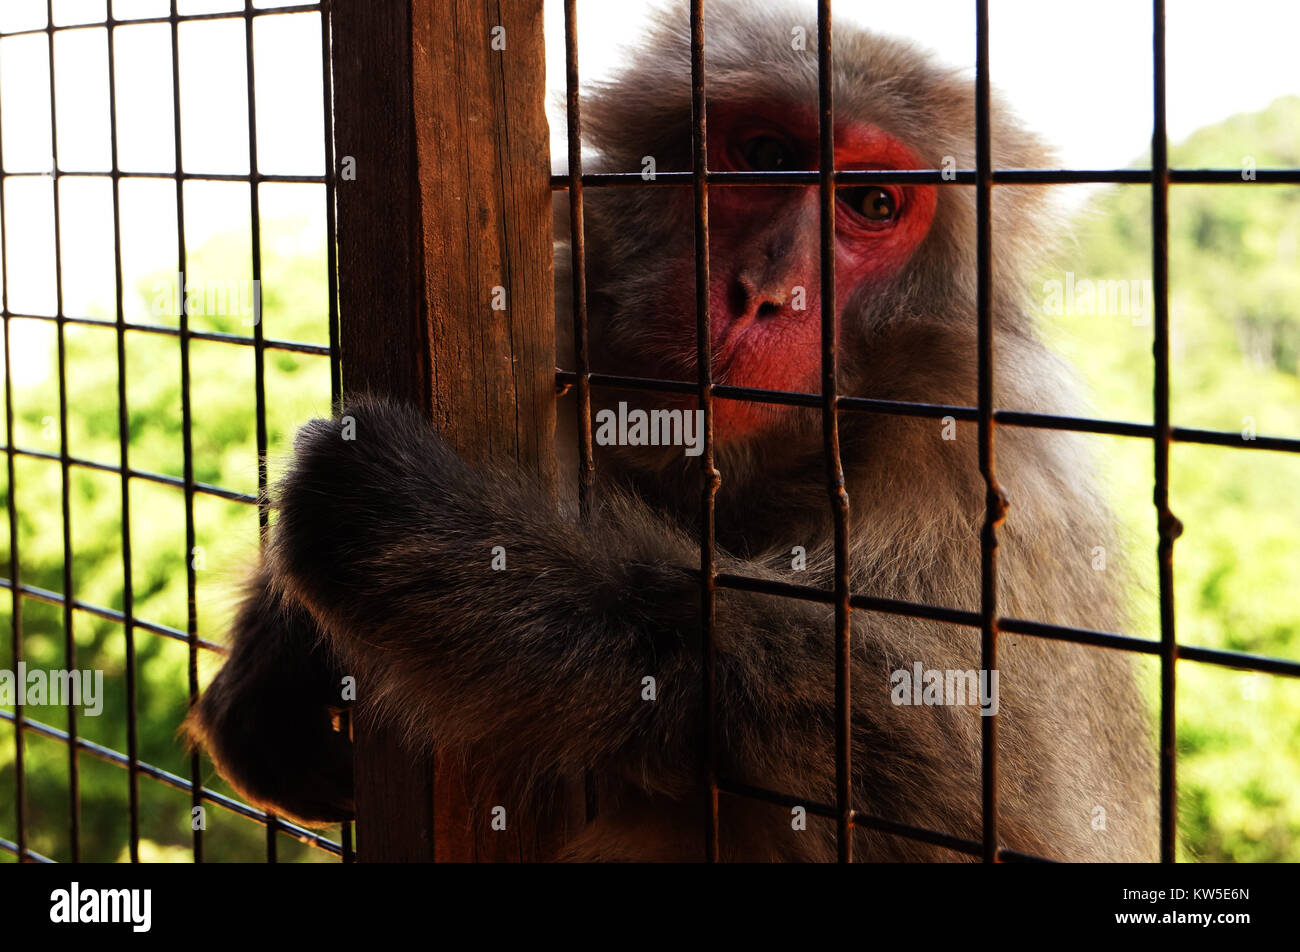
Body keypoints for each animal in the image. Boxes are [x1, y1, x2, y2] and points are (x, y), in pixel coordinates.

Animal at [185, 1, 1159, 863]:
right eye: (766, 156)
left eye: (874, 203)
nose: (765, 292)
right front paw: (278, 641)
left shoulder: (981, 477)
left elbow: (973, 806)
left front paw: (440, 548)